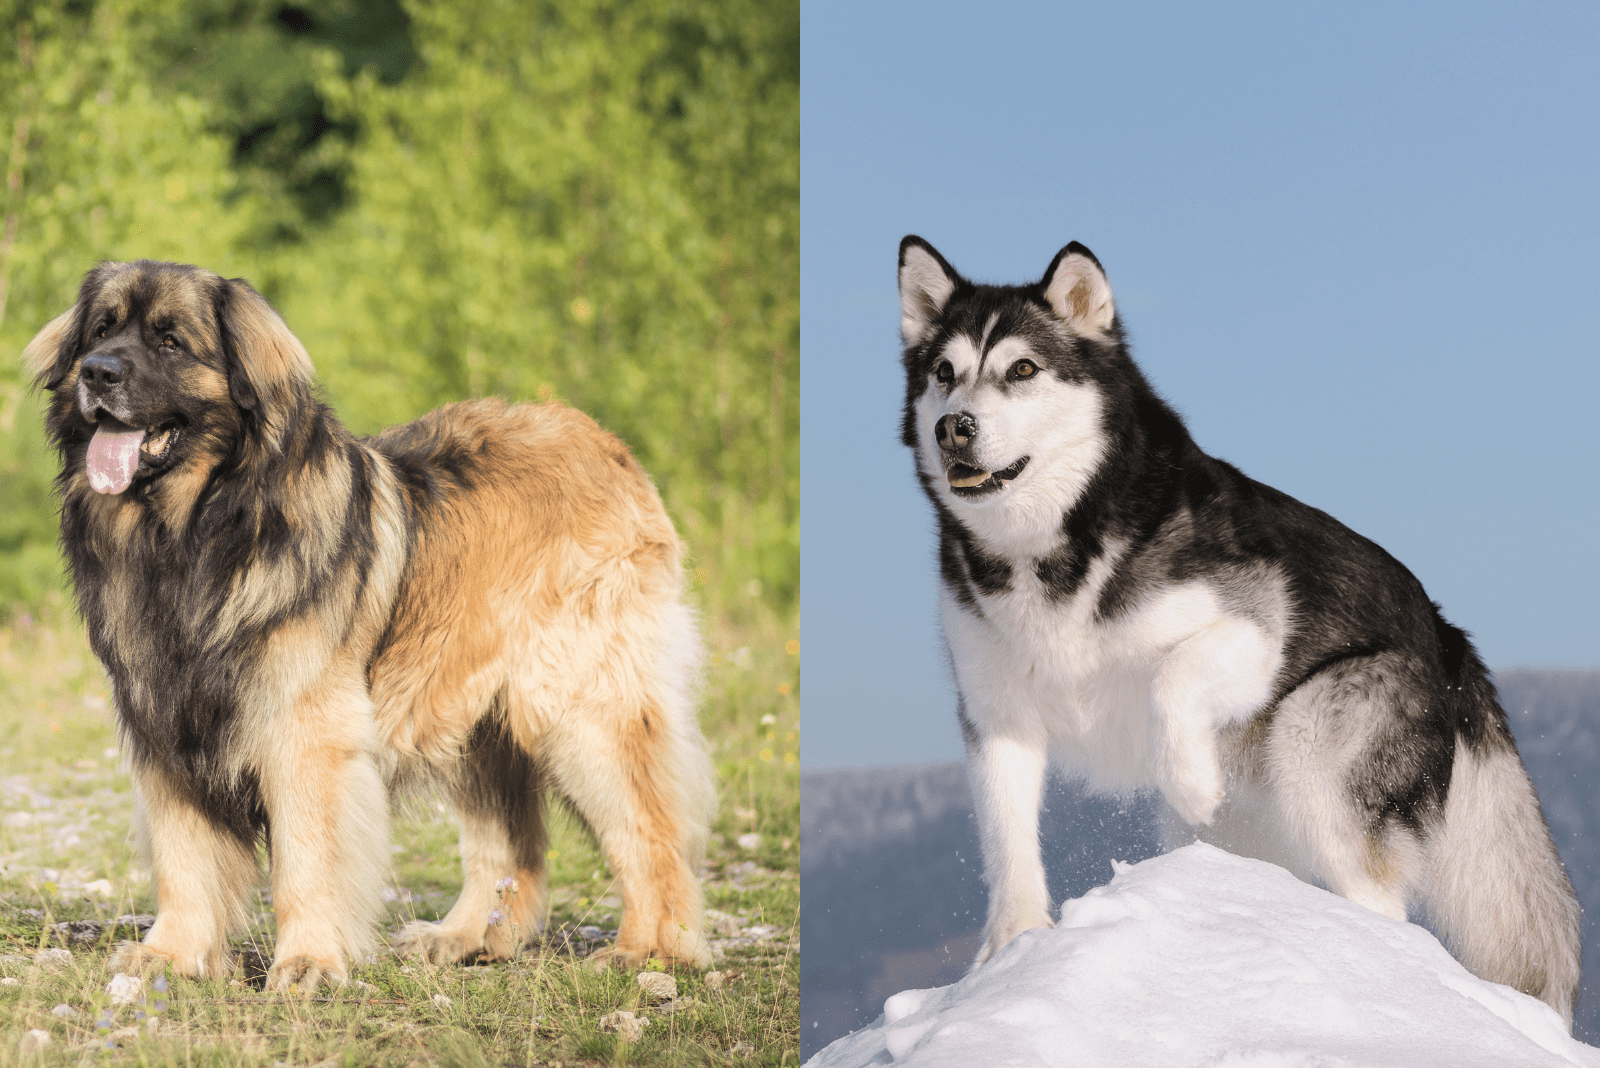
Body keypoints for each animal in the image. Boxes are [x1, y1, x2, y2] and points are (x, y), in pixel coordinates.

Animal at [908, 235, 1580, 1023]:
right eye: (945, 374)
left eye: (1021, 369)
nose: (954, 428)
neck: (1051, 550)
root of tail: (1447, 636)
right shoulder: (997, 715)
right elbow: (1008, 844)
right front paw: (1012, 950)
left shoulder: (1259, 627)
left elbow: (1172, 678)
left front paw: (1193, 782)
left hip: (1311, 747)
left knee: (1377, 901)